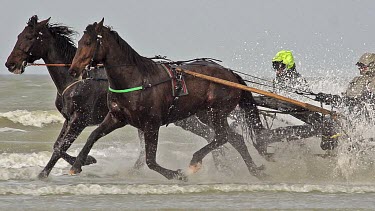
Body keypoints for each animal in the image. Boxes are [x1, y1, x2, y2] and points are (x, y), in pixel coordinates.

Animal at [3, 15, 235, 179]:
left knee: (214, 135)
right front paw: (63, 167)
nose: (10, 64)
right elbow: (58, 146)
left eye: (29, 37)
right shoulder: (69, 118)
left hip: (186, 119)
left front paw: (80, 162)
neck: (75, 80)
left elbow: (62, 146)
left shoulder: (80, 118)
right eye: (19, 36)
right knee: (214, 135)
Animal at [69, 18, 266, 180]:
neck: (137, 79)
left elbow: (150, 161)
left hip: (217, 111)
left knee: (222, 136)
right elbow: (93, 135)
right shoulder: (117, 117)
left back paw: (195, 161)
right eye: (79, 42)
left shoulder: (151, 123)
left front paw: (177, 174)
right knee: (235, 139)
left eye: (88, 42)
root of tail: (230, 74)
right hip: (206, 114)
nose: (73, 70)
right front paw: (77, 165)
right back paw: (254, 170)